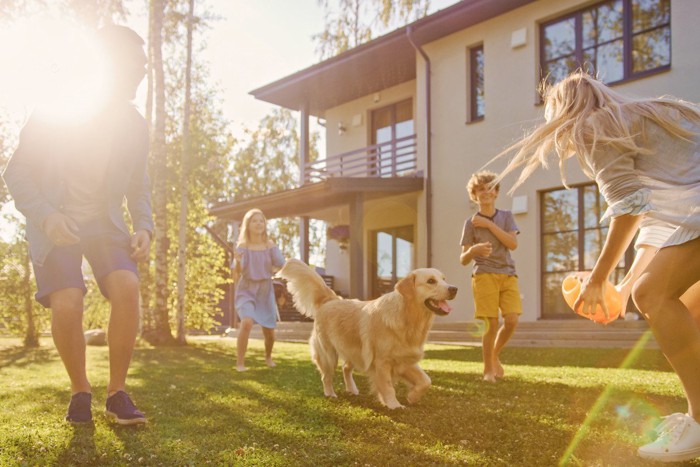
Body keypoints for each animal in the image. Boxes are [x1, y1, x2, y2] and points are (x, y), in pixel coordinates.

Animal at [278, 260, 460, 410]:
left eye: (444, 278)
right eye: (431, 281)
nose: (454, 289)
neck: (407, 318)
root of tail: (331, 299)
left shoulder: (404, 359)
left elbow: (426, 381)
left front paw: (412, 396)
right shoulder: (382, 362)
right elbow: (387, 386)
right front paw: (394, 405)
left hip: (353, 350)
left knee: (345, 368)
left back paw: (352, 389)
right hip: (328, 354)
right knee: (326, 376)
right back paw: (330, 394)